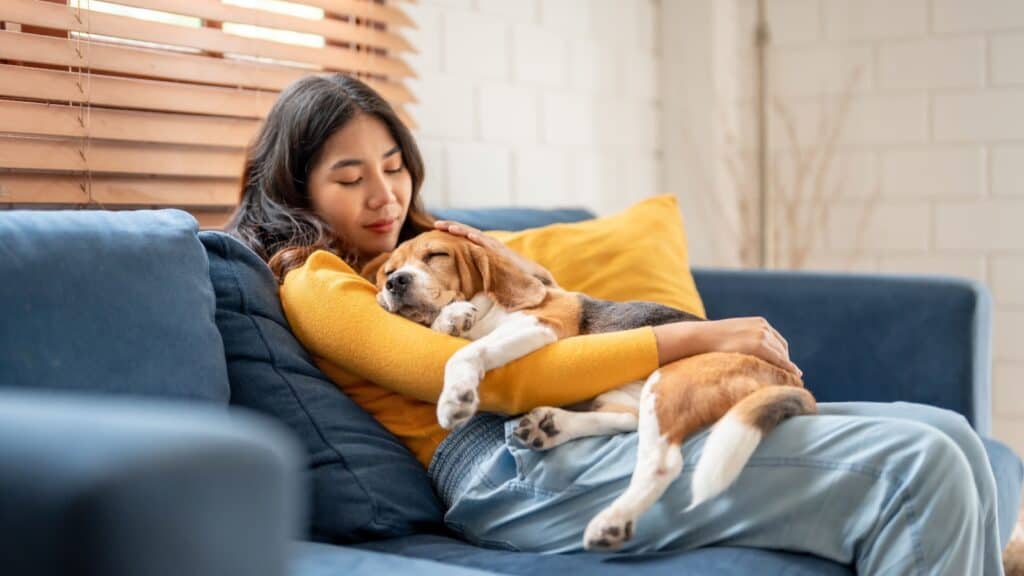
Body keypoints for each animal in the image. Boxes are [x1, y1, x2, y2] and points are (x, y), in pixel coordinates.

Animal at [362, 230, 815, 549]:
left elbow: (467, 352)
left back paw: (612, 519)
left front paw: (456, 394)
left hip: (671, 382)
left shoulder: (542, 325)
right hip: (633, 392)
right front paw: (452, 318)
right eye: (387, 271)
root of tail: (791, 378)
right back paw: (551, 426)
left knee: (662, 461)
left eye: (437, 256)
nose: (396, 283)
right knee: (625, 420)